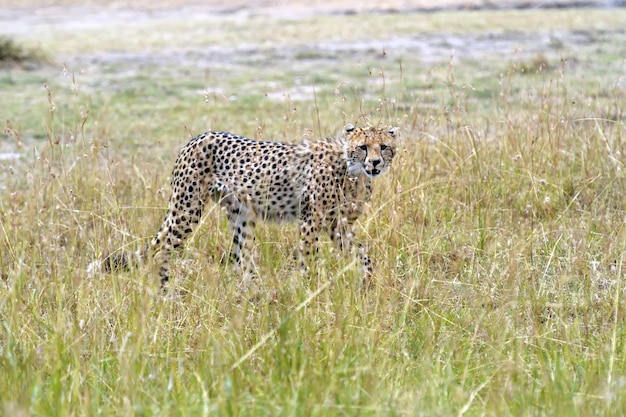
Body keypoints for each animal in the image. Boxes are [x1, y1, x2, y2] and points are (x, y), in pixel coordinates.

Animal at [94, 123, 394, 286]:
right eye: (363, 146)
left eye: (384, 146)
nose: (375, 163)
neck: (352, 170)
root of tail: (198, 137)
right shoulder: (311, 221)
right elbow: (309, 259)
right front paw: (310, 290)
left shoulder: (338, 225)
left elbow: (363, 254)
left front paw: (368, 283)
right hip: (187, 210)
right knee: (166, 250)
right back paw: (167, 294)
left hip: (241, 214)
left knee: (242, 258)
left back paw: (253, 293)